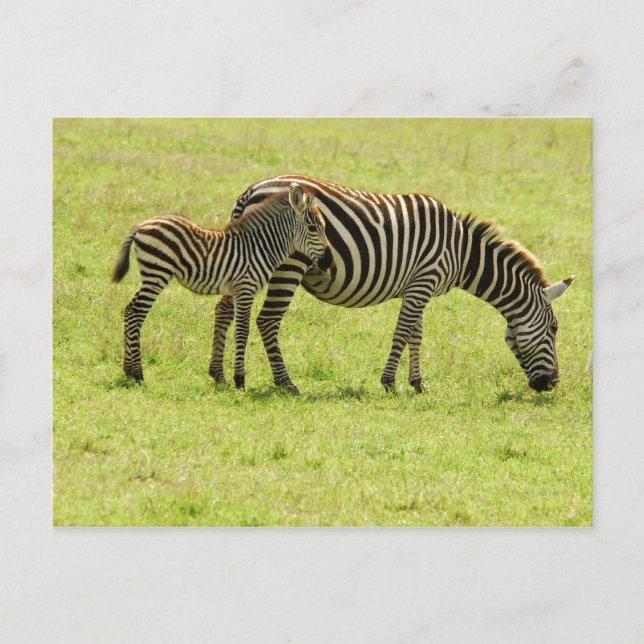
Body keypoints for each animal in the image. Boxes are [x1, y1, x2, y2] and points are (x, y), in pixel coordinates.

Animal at [112, 182, 334, 389]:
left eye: (324, 227)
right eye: (312, 228)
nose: (329, 262)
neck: (260, 247)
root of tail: (141, 225)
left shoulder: (237, 290)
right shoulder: (245, 288)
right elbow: (242, 331)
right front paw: (240, 380)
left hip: (152, 275)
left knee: (129, 310)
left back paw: (129, 370)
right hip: (157, 273)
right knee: (136, 312)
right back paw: (138, 374)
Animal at [210, 174, 574, 395]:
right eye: (554, 329)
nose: (552, 384)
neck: (462, 252)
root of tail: (252, 189)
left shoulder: (419, 287)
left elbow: (416, 334)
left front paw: (418, 383)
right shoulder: (423, 281)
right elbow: (402, 332)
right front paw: (388, 383)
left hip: (244, 260)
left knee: (224, 309)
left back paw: (218, 375)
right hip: (289, 264)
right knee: (267, 321)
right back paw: (286, 384)